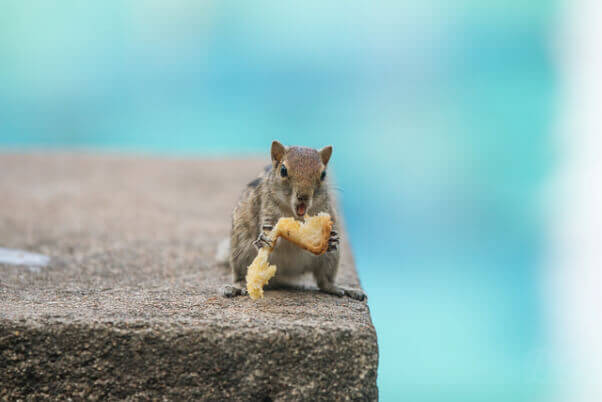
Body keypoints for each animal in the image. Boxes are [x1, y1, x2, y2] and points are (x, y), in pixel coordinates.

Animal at [218, 140, 364, 300]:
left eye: (323, 174)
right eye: (283, 170)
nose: (303, 196)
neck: (296, 216)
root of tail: (283, 275)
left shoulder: (327, 212)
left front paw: (332, 238)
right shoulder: (266, 210)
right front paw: (264, 239)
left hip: (330, 258)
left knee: (324, 281)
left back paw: (341, 288)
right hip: (240, 252)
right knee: (240, 276)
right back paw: (236, 287)